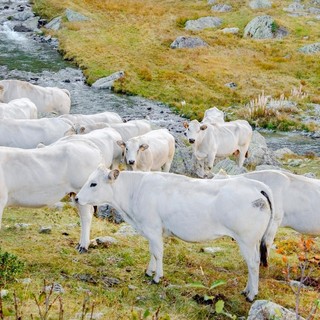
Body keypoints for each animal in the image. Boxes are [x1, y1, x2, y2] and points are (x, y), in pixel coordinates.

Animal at [75, 168, 276, 302]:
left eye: (93, 183)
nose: (76, 198)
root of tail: (255, 185)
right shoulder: (152, 230)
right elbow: (152, 251)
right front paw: (149, 271)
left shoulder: (153, 227)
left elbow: (158, 253)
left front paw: (157, 277)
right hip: (252, 240)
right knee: (253, 263)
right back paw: (247, 290)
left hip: (246, 239)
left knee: (253, 263)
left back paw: (251, 294)